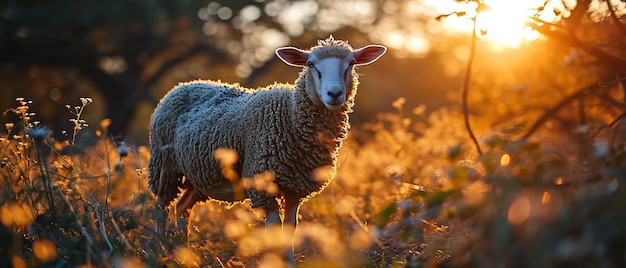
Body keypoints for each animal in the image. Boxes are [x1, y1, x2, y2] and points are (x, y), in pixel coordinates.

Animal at [149, 36, 382, 254]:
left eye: (351, 63)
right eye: (310, 64)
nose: (334, 94)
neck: (289, 115)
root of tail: (186, 84)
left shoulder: (295, 188)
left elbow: (290, 230)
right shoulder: (261, 184)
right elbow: (274, 229)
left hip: (199, 177)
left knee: (182, 208)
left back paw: (182, 250)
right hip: (164, 166)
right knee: (161, 208)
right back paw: (161, 250)